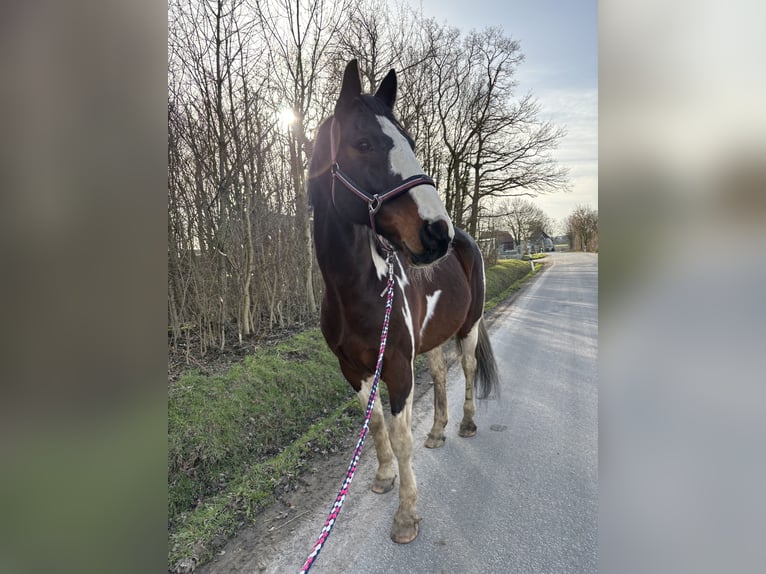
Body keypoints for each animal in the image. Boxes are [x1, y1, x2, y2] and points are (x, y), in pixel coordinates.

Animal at [308, 59, 499, 544]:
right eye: (363, 143)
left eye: (410, 142)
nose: (437, 231)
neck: (355, 290)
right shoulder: (354, 369)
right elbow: (376, 425)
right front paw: (383, 477)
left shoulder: (395, 364)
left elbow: (400, 437)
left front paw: (407, 515)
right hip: (430, 338)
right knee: (440, 373)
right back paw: (438, 431)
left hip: (468, 328)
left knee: (466, 369)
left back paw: (466, 424)